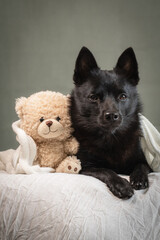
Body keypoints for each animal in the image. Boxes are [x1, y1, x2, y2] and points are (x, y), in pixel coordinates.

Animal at [70, 46, 151, 199]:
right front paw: (121, 185)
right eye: (94, 97)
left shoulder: (146, 163)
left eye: (123, 96)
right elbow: (106, 170)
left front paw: (138, 179)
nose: (112, 115)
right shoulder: (84, 167)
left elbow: (141, 166)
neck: (110, 137)